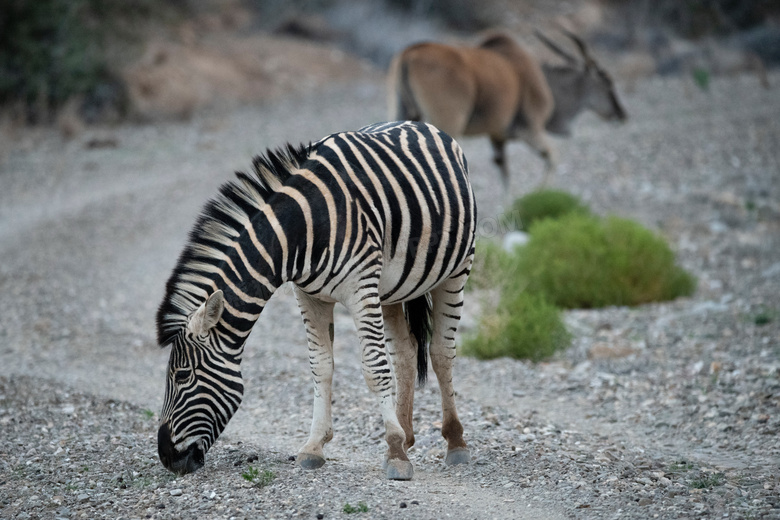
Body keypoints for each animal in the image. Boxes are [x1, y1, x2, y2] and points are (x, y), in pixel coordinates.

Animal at [154, 121, 476, 480]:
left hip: (457, 270)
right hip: (392, 289)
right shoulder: (309, 295)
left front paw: (394, 453)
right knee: (405, 353)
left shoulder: (361, 287)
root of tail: (421, 124)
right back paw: (406, 435)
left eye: (182, 376)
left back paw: (455, 442)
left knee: (441, 353)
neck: (303, 229)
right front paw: (314, 446)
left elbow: (374, 367)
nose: (166, 457)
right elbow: (320, 366)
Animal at [388, 30, 628, 187]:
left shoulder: (497, 137)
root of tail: (410, 53)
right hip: (447, 123)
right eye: (607, 82)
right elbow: (553, 157)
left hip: (404, 114)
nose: (621, 113)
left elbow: (504, 172)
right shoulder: (530, 130)